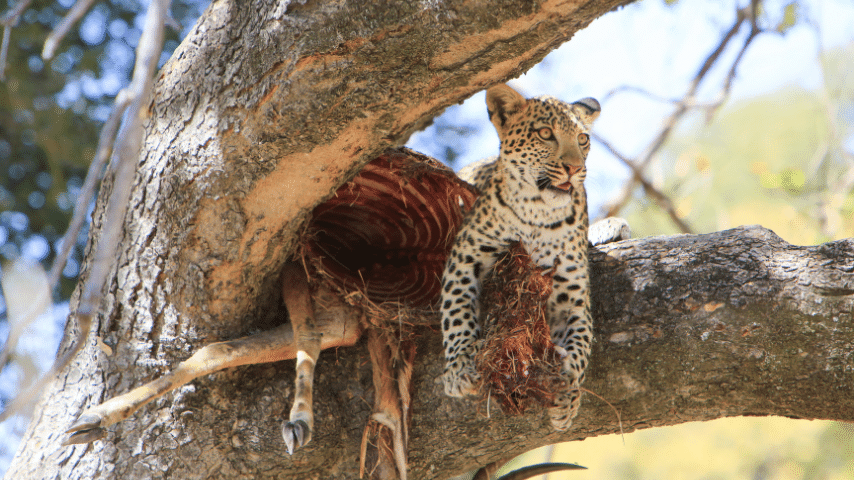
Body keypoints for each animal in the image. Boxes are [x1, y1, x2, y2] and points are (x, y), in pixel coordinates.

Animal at [442, 82, 628, 432]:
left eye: (583, 139)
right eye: (545, 133)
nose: (574, 168)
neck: (538, 212)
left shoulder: (572, 292)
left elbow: (581, 343)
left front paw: (568, 394)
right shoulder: (464, 257)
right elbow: (455, 312)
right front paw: (458, 369)